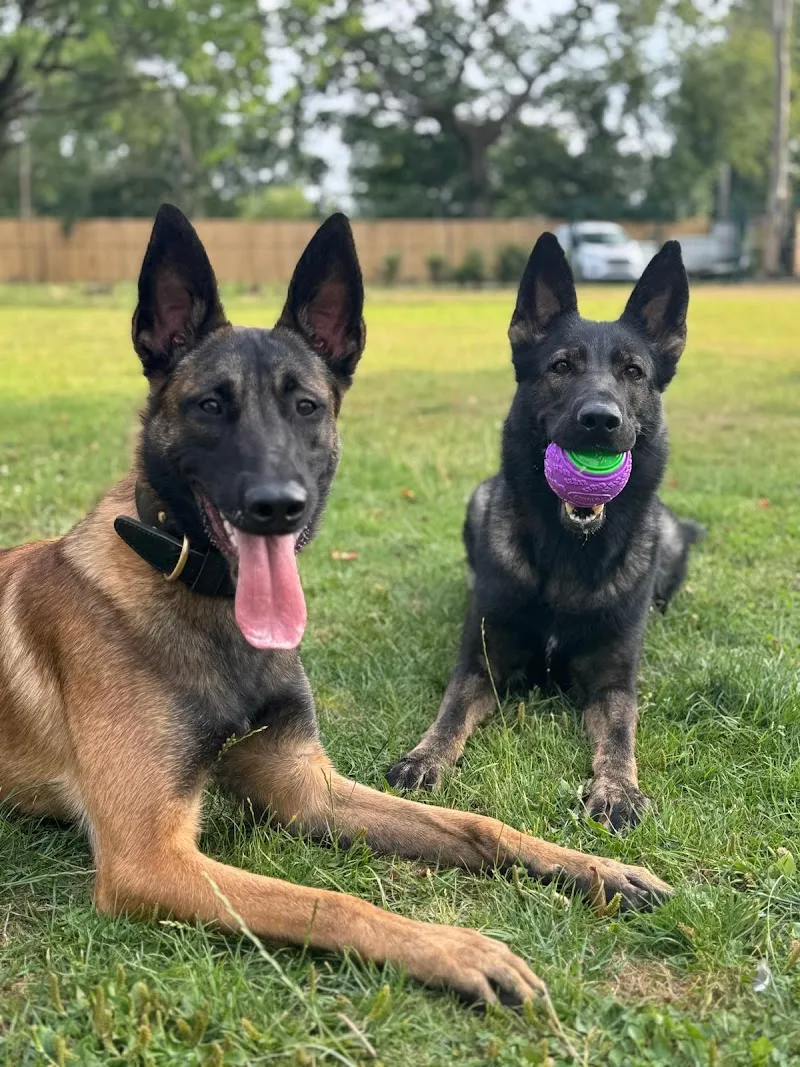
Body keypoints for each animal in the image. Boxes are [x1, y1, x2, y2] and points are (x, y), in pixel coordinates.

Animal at [0, 207, 671, 1004]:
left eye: (307, 407)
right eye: (209, 406)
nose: (277, 507)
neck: (204, 606)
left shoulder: (307, 788)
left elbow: (477, 824)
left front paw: (593, 865)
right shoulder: (149, 857)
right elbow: (330, 899)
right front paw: (457, 947)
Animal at [387, 233, 704, 830]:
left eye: (633, 372)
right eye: (561, 366)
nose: (600, 420)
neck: (567, 555)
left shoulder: (614, 684)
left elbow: (620, 737)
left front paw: (618, 788)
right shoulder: (481, 666)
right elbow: (449, 712)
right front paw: (425, 756)